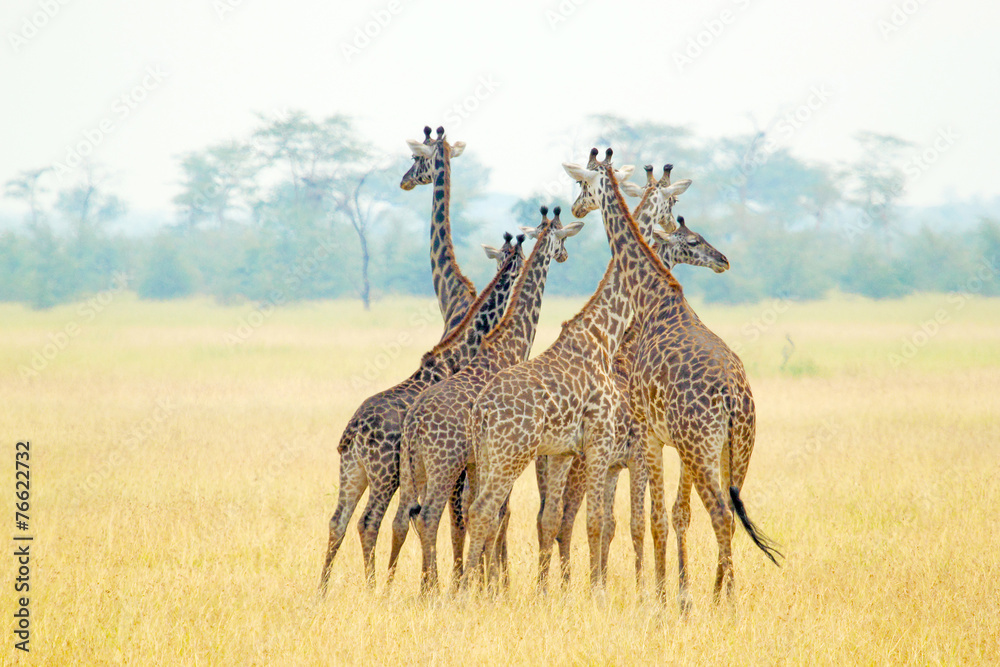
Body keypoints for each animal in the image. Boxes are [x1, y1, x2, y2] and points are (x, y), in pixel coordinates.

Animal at [318, 231, 524, 596]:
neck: (457, 357)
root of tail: (352, 432)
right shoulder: (456, 467)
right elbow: (453, 520)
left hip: (353, 471)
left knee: (337, 521)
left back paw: (322, 590)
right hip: (384, 474)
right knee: (369, 522)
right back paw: (372, 588)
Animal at [394, 206, 584, 592]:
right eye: (562, 234)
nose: (564, 255)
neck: (508, 344)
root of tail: (414, 424)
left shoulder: (478, 463)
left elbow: (479, 516)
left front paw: (481, 583)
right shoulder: (497, 458)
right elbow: (497, 515)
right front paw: (493, 586)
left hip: (412, 467)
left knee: (404, 516)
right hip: (443, 464)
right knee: (429, 515)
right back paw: (429, 591)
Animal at [564, 149, 780, 612]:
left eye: (581, 183)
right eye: (692, 239)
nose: (575, 209)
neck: (651, 298)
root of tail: (734, 398)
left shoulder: (650, 431)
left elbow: (657, 518)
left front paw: (663, 598)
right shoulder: (668, 441)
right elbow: (675, 514)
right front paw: (678, 594)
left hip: (701, 446)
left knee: (720, 512)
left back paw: (726, 601)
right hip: (737, 448)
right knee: (730, 512)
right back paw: (719, 594)